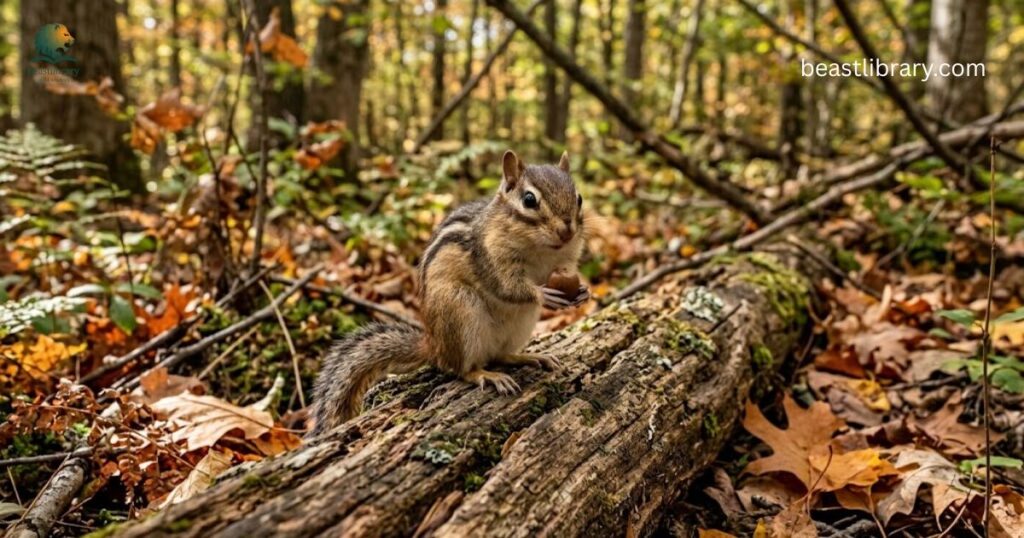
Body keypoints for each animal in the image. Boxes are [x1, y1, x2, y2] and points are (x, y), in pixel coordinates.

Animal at [310, 150, 589, 435]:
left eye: (578, 197)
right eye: (529, 200)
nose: (567, 230)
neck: (542, 248)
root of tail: (434, 345)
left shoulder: (566, 260)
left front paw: (583, 293)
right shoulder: (489, 257)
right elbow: (507, 286)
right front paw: (543, 294)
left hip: (520, 324)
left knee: (501, 355)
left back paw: (529, 356)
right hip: (460, 310)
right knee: (461, 369)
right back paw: (485, 375)